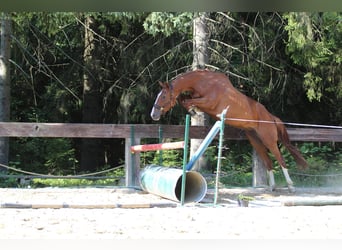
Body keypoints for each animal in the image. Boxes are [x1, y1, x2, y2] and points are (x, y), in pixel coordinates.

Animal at [150, 69, 308, 191]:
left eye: (163, 96)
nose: (153, 115)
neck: (205, 82)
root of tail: (271, 117)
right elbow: (184, 99)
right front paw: (192, 110)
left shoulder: (208, 102)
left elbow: (188, 101)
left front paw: (192, 110)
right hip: (255, 140)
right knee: (268, 162)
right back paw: (272, 187)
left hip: (269, 140)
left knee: (280, 160)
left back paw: (291, 186)